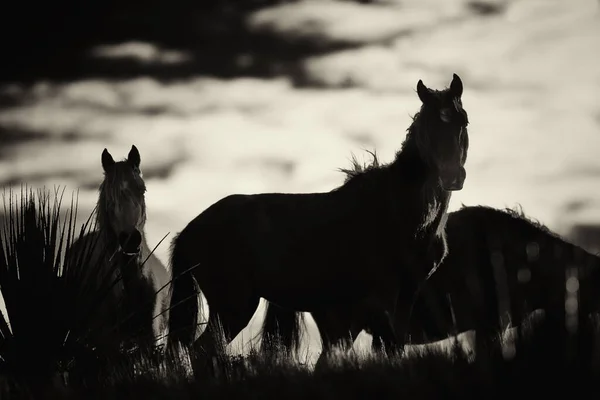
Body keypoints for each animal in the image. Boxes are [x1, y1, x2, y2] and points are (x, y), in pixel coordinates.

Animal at [168, 73, 468, 370]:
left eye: (463, 121)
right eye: (428, 126)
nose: (452, 176)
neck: (402, 212)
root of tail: (188, 231)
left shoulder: (407, 293)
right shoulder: (384, 296)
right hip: (233, 306)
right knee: (201, 351)